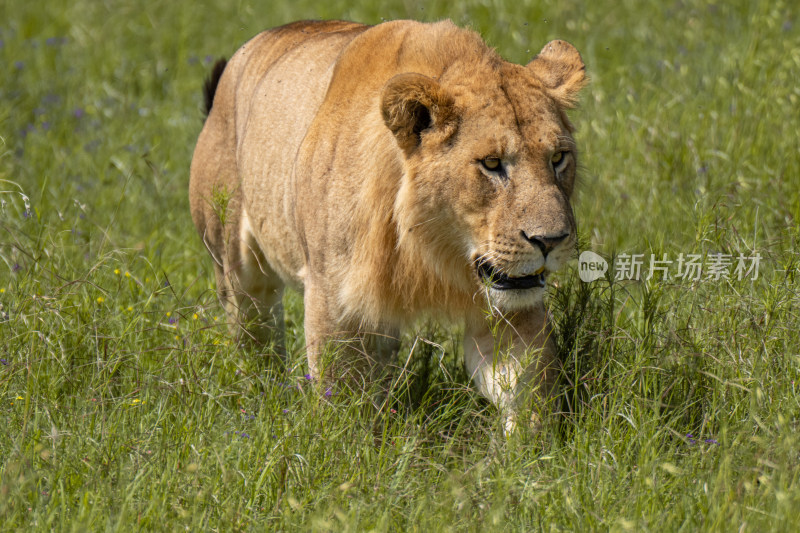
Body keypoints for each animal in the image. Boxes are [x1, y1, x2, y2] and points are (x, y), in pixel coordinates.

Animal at [188, 18, 588, 430]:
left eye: (558, 158)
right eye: (491, 164)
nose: (551, 241)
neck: (432, 248)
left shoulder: (509, 300)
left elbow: (527, 388)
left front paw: (528, 446)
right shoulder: (333, 300)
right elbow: (339, 399)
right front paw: (342, 443)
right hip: (235, 269)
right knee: (254, 338)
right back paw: (260, 397)